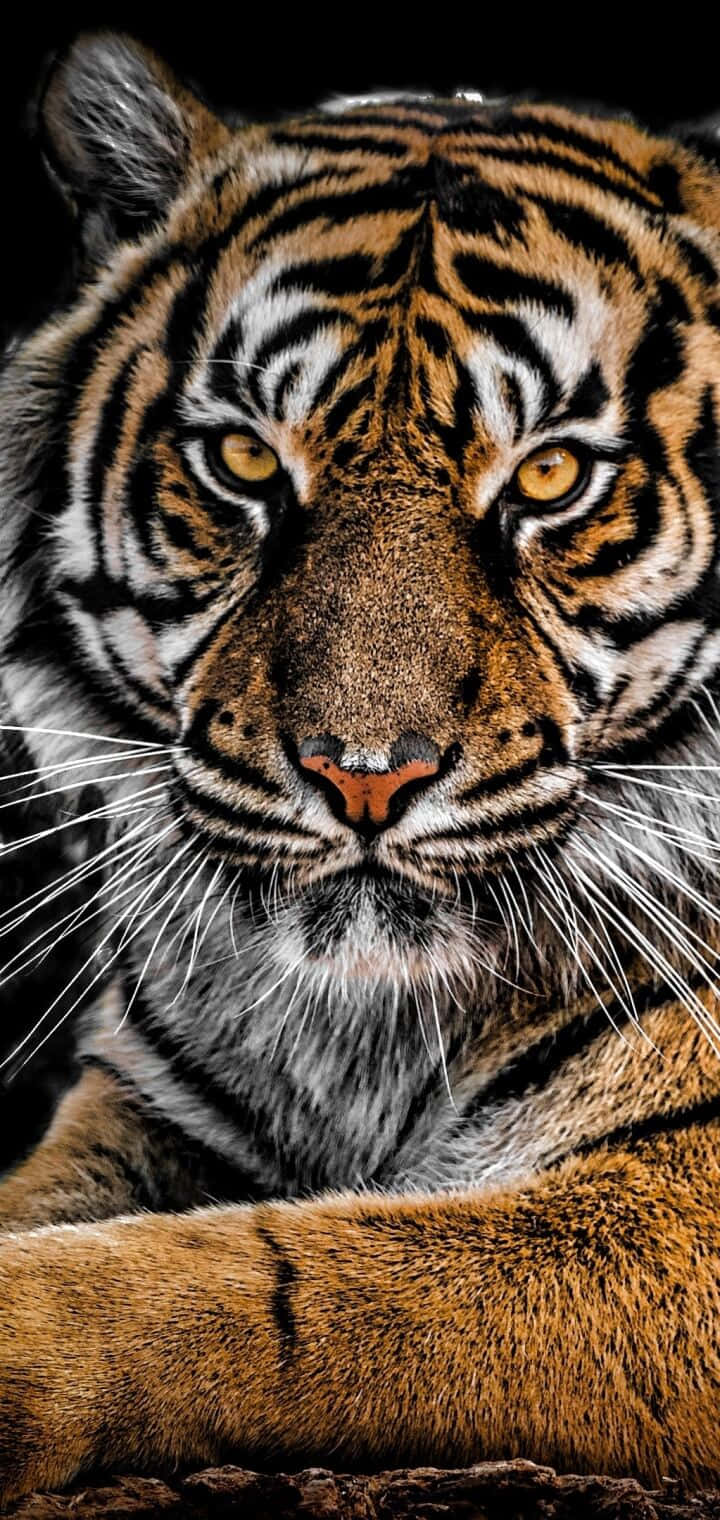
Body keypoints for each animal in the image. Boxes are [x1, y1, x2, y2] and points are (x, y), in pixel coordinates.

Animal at [3, 28, 720, 1505]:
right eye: (238, 460)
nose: (367, 775)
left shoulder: (680, 1197)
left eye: (552, 476)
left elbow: (293, 1278)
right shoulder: (147, 1110)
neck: (366, 1028)